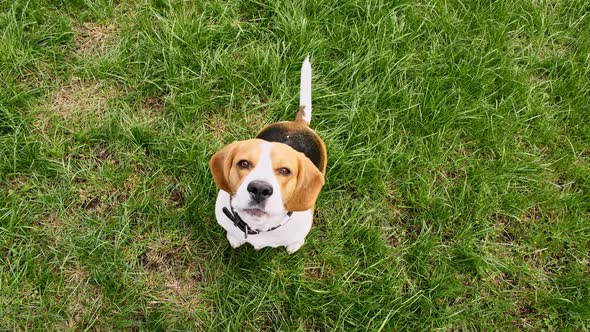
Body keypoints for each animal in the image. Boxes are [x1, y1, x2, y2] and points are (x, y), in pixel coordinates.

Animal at [209, 57, 328, 254]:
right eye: (243, 163)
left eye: (285, 171)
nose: (259, 189)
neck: (259, 227)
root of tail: (299, 124)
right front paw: (234, 239)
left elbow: (297, 239)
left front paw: (294, 245)